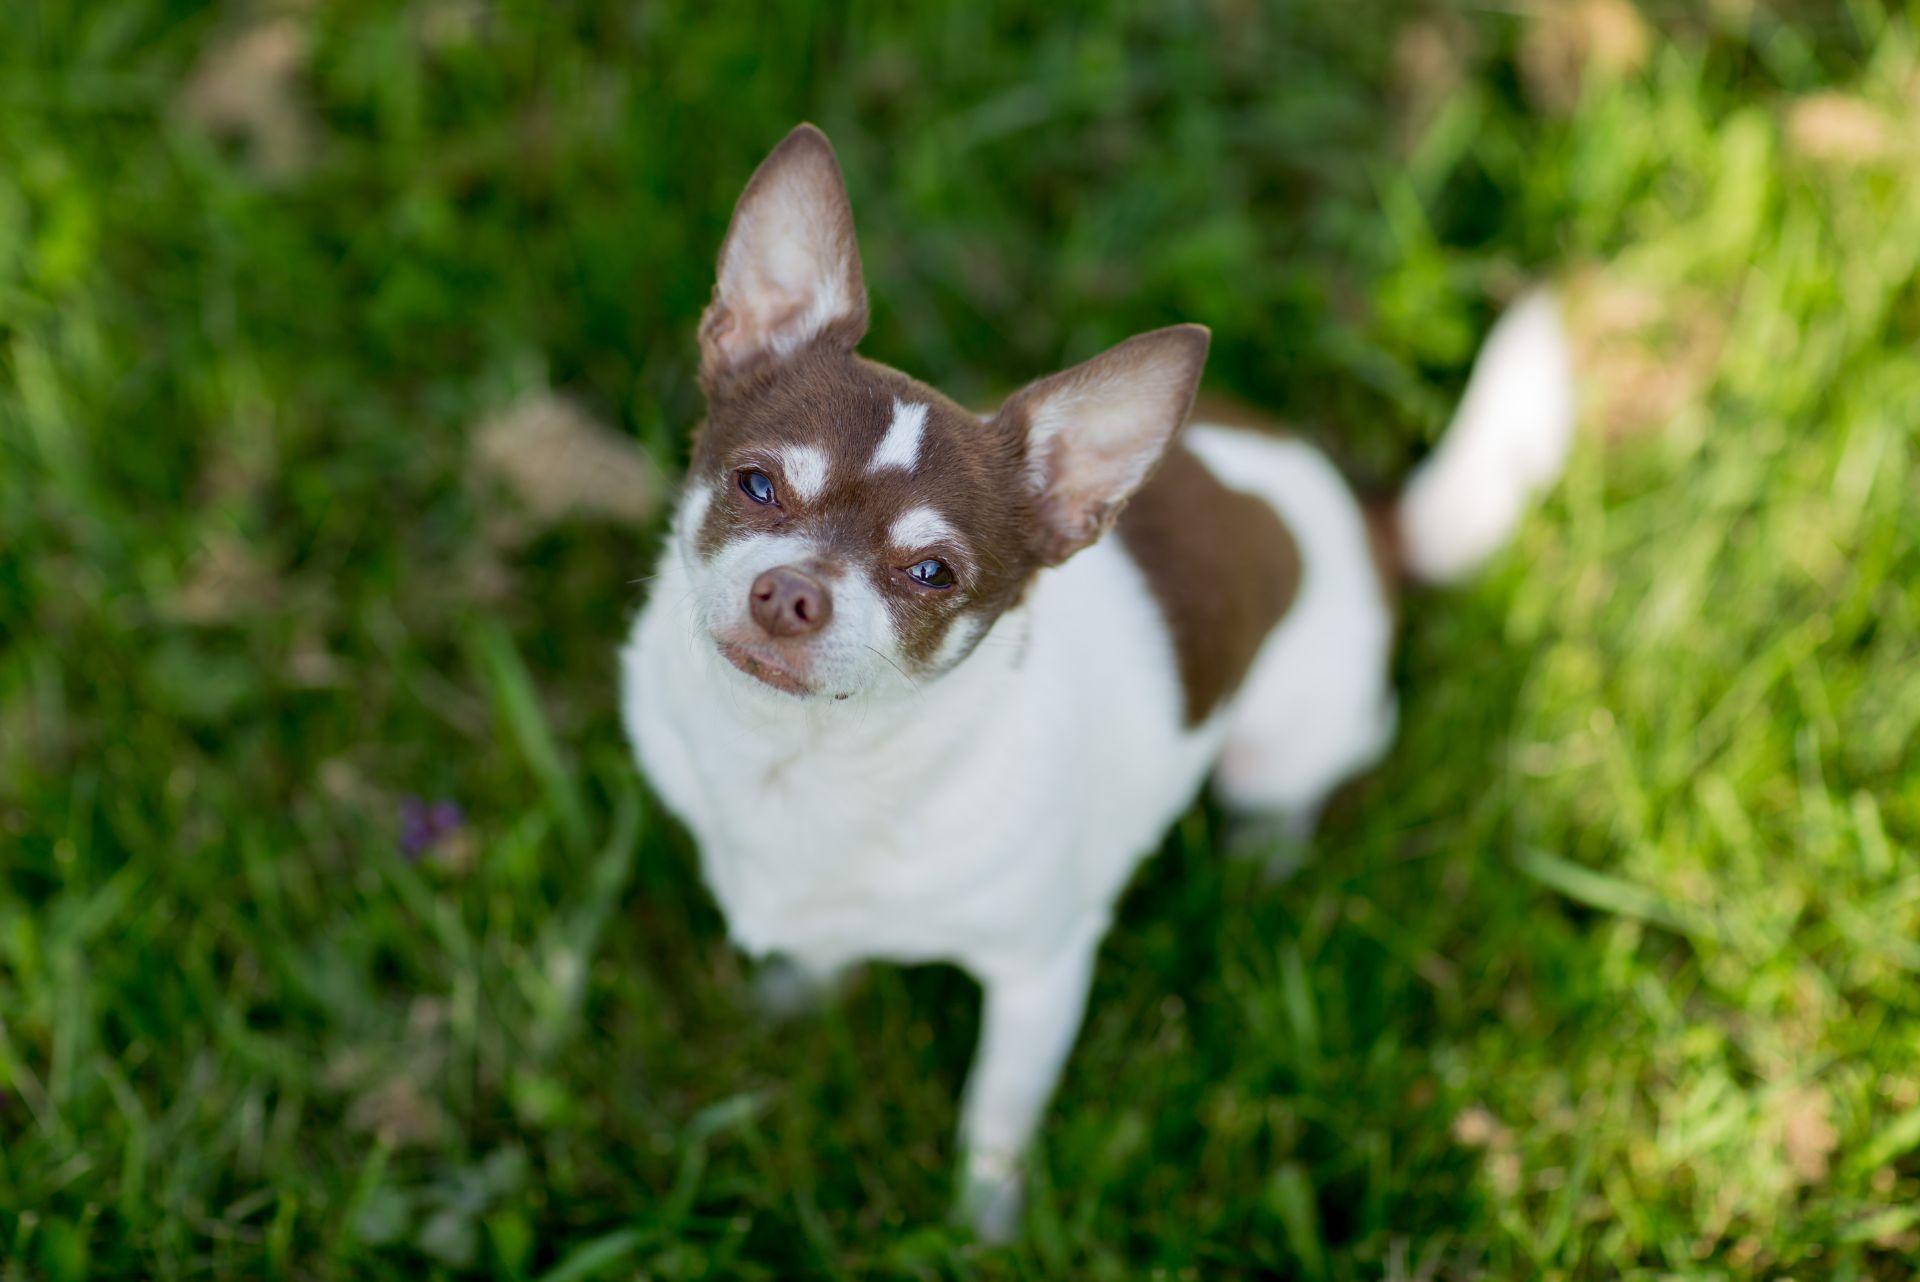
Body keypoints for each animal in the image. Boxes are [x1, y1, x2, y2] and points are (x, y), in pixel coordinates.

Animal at [622, 124, 1566, 1235]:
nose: (790, 594)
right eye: (756, 484)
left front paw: (982, 1228)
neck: (800, 762)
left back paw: (1261, 859)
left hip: (1284, 742)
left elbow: (997, 1112)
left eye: (932, 573)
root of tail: (1361, 516)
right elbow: (817, 951)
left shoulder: (1042, 971)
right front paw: (793, 1005)